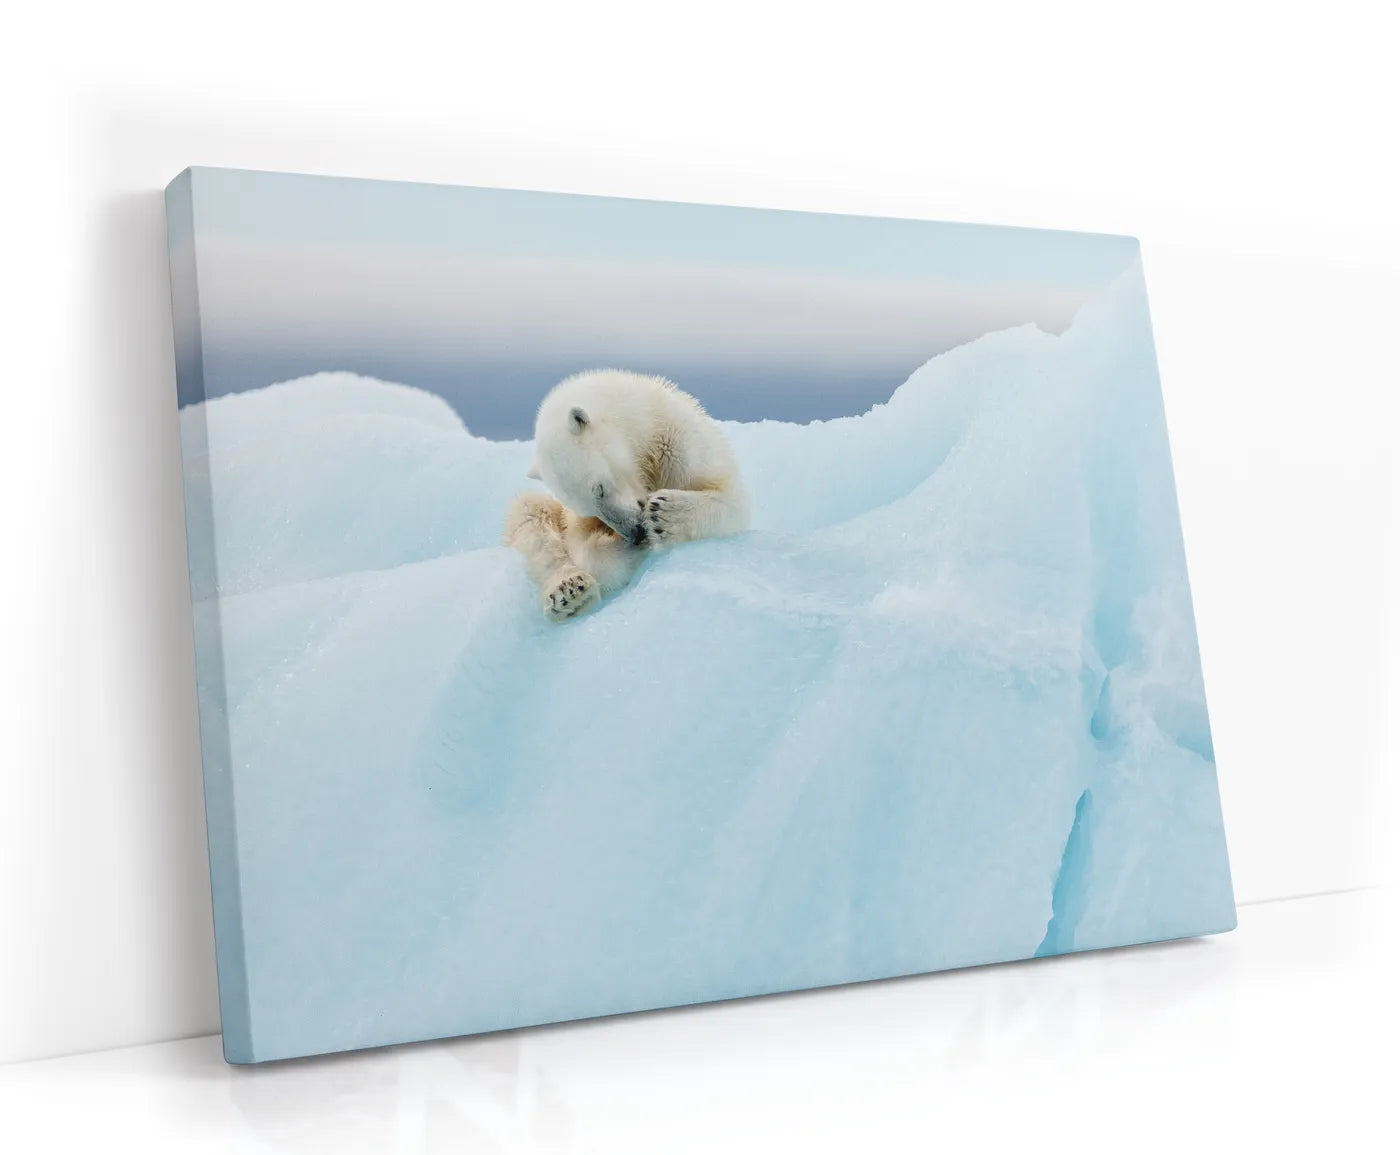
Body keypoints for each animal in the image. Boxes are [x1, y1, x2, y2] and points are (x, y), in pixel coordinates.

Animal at [503, 369, 750, 621]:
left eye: (600, 488)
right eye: (588, 510)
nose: (636, 533)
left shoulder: (680, 444)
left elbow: (732, 499)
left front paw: (664, 514)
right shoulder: (572, 518)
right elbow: (582, 545)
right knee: (530, 515)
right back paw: (570, 593)